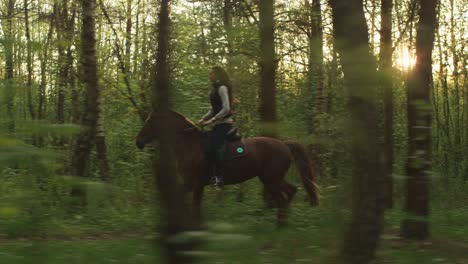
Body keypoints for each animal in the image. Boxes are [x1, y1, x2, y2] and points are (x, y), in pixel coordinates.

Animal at [133, 110, 320, 224]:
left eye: (150, 122)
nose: (138, 141)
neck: (190, 145)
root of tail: (284, 144)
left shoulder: (195, 183)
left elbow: (194, 205)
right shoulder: (192, 183)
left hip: (271, 179)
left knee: (282, 198)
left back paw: (280, 225)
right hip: (271, 178)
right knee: (291, 191)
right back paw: (284, 221)